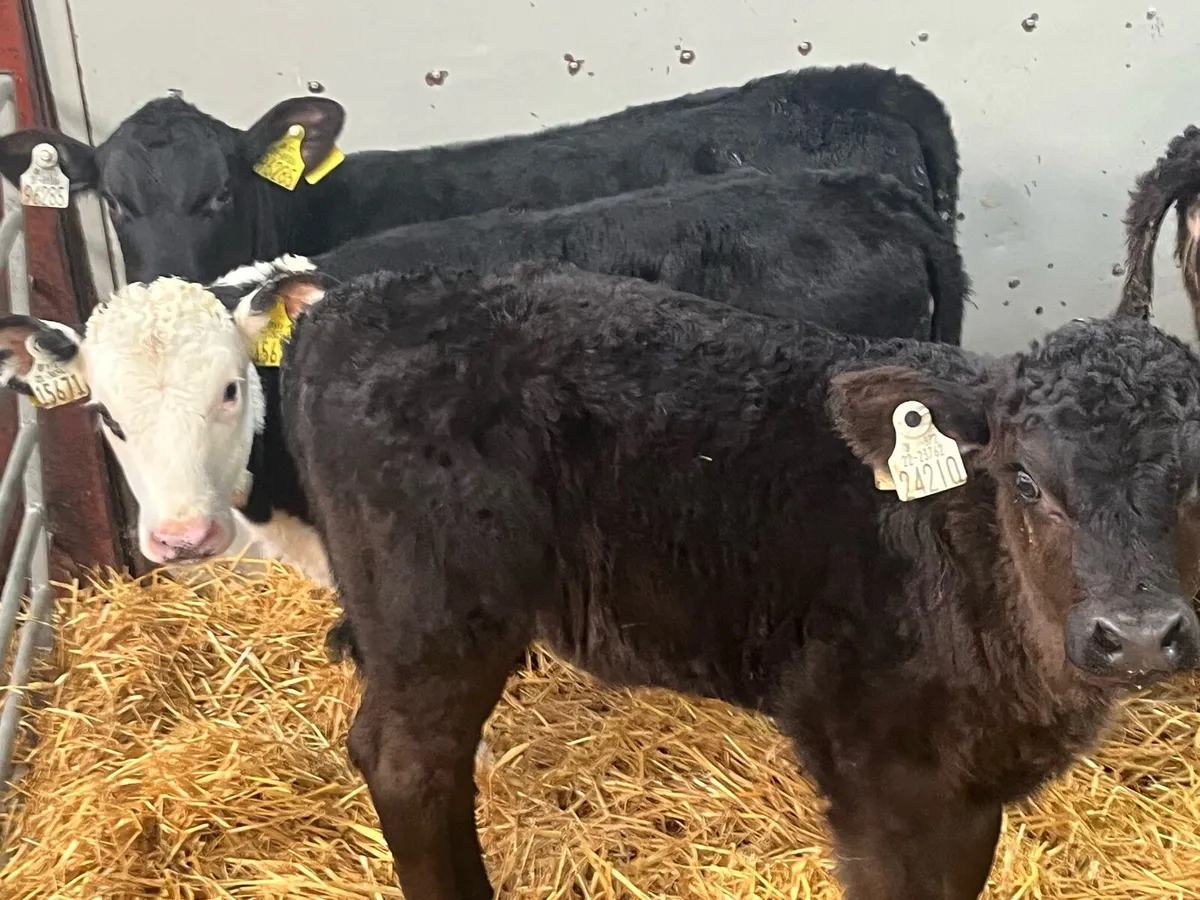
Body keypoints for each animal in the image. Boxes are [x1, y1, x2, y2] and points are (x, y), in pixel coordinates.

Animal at [4, 262, 1200, 900]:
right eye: (1027, 480)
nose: (1139, 634)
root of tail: (362, 301)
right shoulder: (874, 768)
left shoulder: (967, 787)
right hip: (436, 612)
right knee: (404, 760)